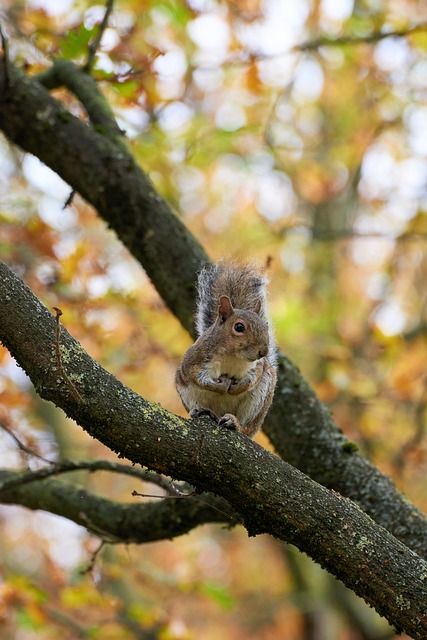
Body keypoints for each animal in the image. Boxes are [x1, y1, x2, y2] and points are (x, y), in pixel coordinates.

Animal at [175, 261, 277, 438]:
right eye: (239, 327)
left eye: (266, 326)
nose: (263, 352)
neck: (233, 357)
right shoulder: (195, 360)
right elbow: (198, 378)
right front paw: (221, 386)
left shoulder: (258, 365)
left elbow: (253, 378)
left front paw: (238, 387)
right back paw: (200, 411)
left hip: (260, 399)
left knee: (246, 428)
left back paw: (235, 423)